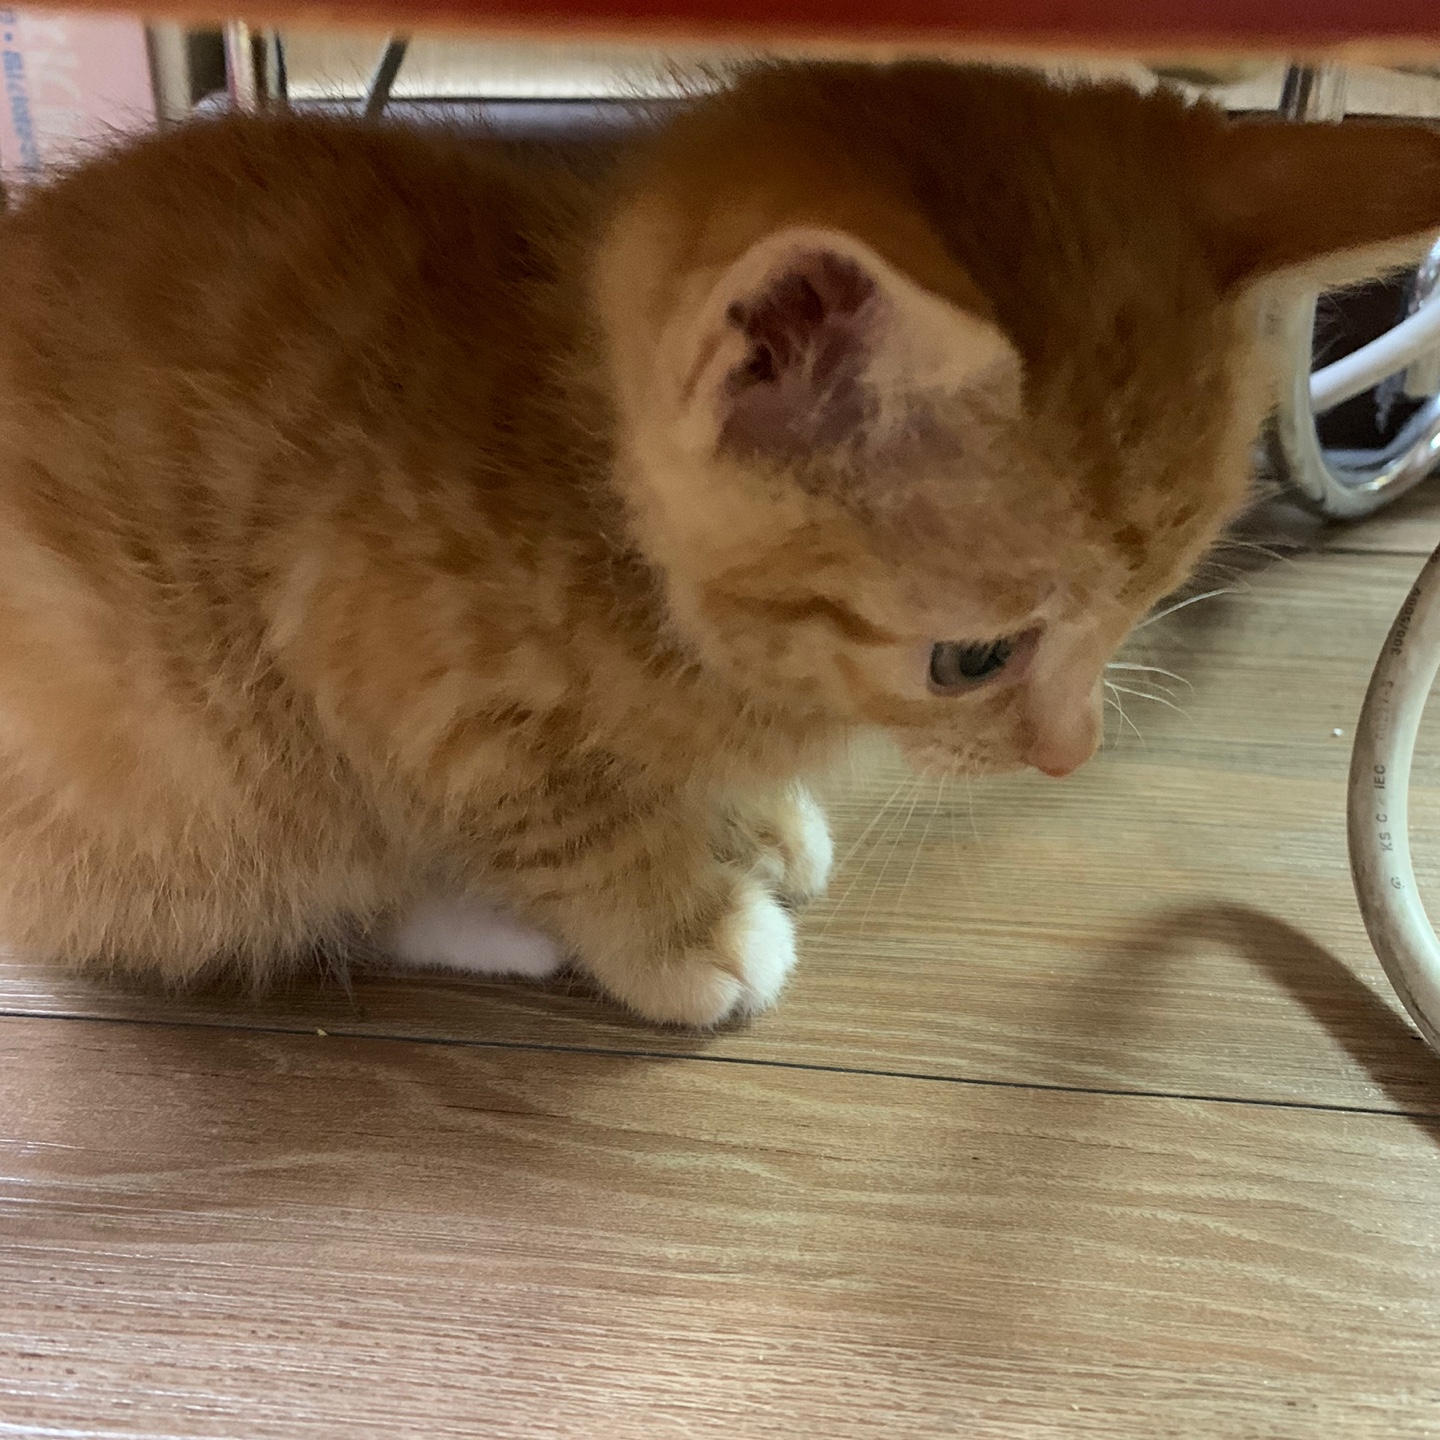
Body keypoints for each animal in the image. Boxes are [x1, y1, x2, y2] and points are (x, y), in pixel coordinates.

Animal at [0, 60, 1436, 1026]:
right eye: (972, 660)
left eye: (1145, 608)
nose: (1070, 759)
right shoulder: (377, 664)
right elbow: (552, 819)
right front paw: (678, 921)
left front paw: (747, 815)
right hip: (176, 779)